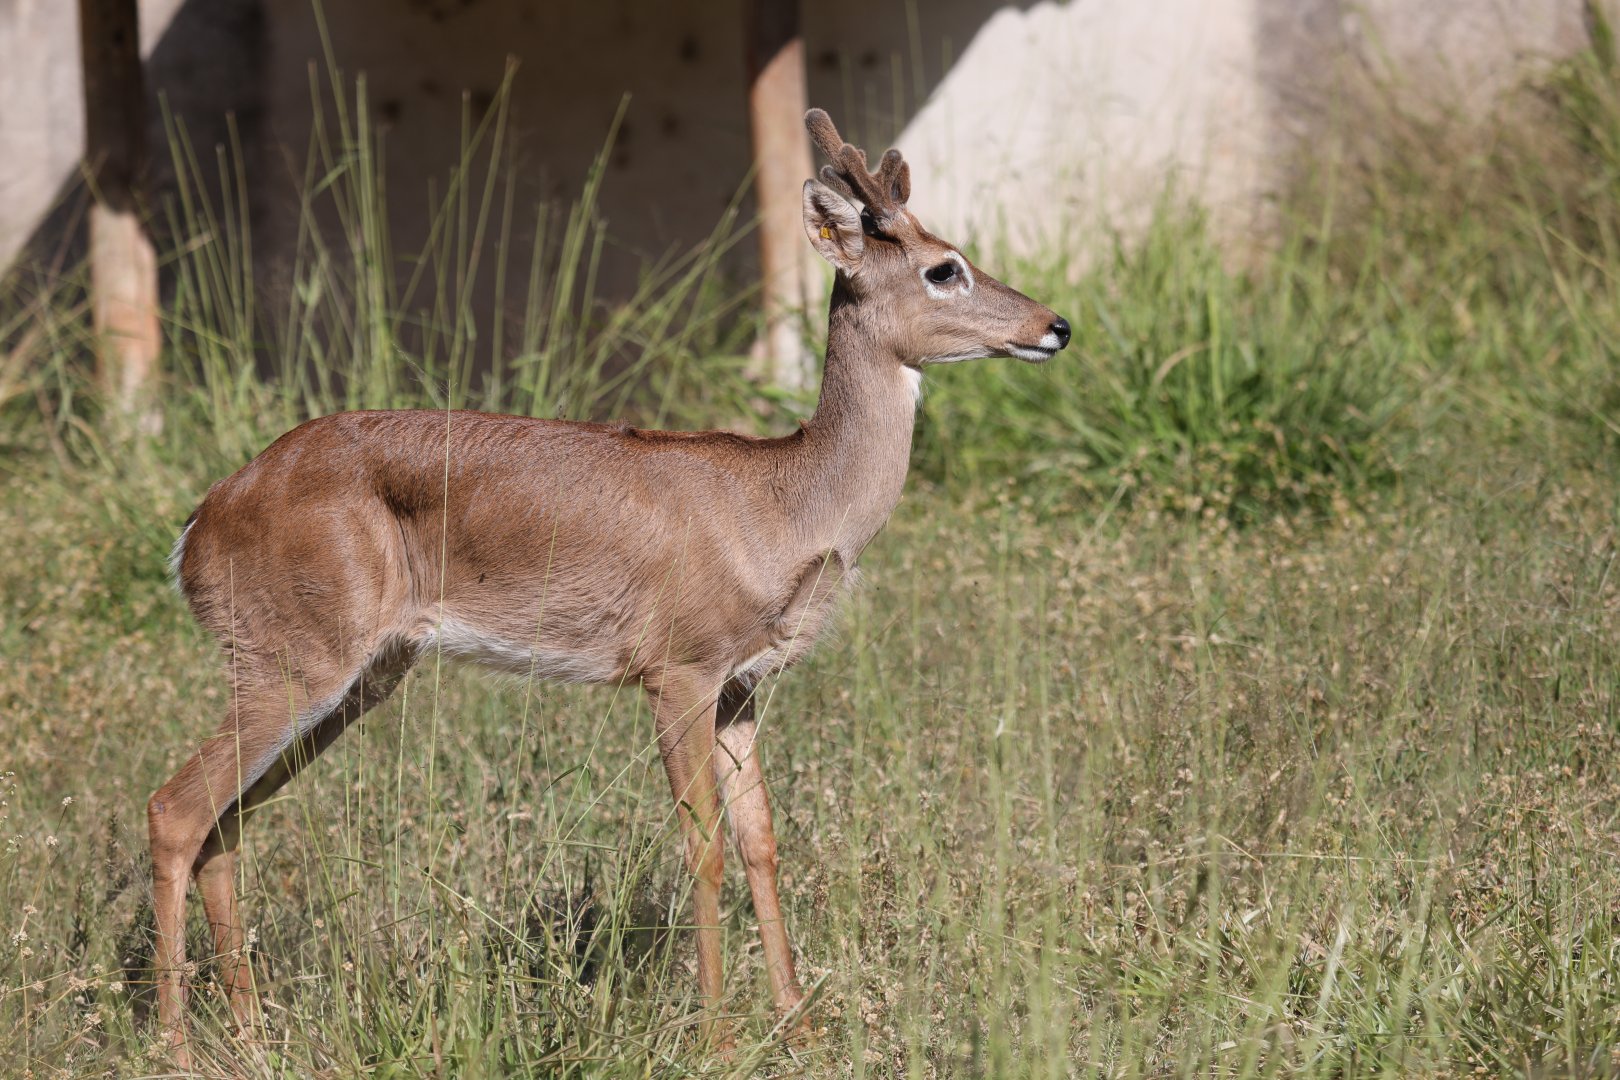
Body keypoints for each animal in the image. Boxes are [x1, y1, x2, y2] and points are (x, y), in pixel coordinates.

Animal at [150, 108, 1070, 1065]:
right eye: (943, 267)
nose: (1057, 324)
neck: (787, 506)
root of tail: (199, 526)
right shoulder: (677, 667)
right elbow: (703, 848)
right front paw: (717, 1037)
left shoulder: (741, 685)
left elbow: (762, 842)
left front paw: (799, 1021)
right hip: (296, 651)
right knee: (175, 810)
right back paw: (176, 1045)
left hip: (359, 671)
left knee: (226, 825)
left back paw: (252, 1034)